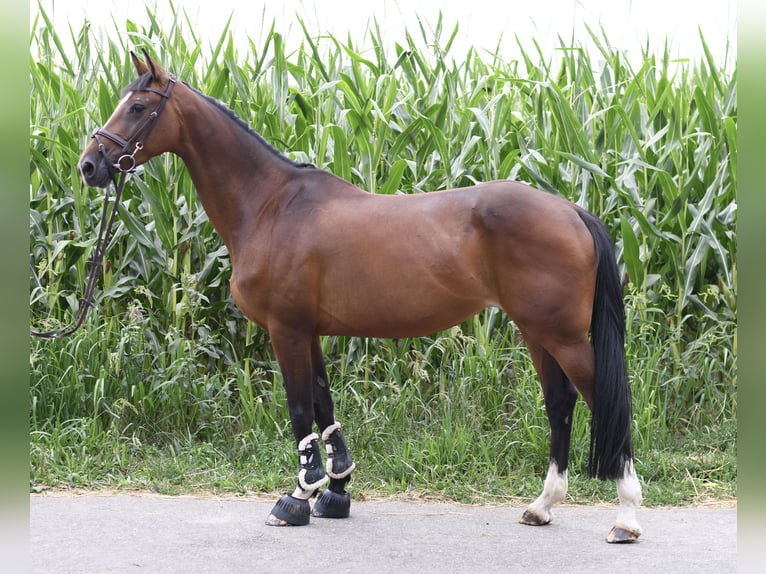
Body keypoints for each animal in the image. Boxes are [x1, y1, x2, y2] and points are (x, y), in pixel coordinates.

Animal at [78, 50, 642, 543]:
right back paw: (542, 506)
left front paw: (295, 500)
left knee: (603, 400)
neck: (271, 205)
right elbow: (324, 407)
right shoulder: (309, 331)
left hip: (562, 336)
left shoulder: (286, 330)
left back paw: (627, 518)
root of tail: (572, 210)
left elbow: (300, 412)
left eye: (138, 106)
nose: (89, 165)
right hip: (537, 332)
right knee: (560, 403)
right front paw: (335, 492)